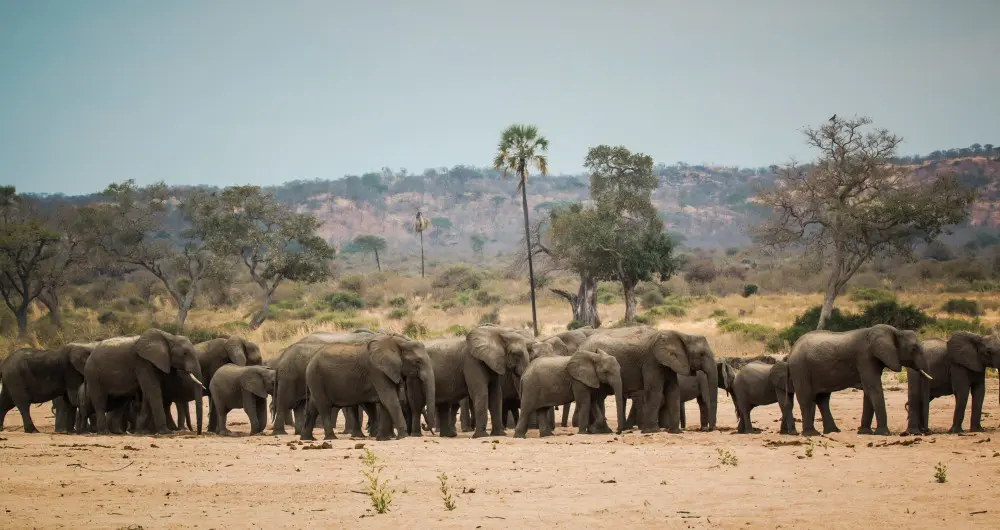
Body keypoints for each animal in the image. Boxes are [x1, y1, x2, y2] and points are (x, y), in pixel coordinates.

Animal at [301, 332, 435, 441]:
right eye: (417, 362)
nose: (424, 425)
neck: (397, 342)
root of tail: (311, 360)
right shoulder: (377, 370)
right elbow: (389, 399)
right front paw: (403, 436)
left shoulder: (390, 370)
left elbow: (386, 401)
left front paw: (383, 439)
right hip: (316, 377)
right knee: (323, 407)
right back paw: (331, 438)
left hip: (315, 379)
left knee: (313, 407)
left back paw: (307, 438)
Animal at [578, 326, 714, 434]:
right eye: (702, 354)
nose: (710, 429)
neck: (681, 335)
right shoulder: (652, 361)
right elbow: (655, 390)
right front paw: (651, 431)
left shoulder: (668, 363)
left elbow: (673, 390)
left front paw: (675, 432)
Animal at [787, 324, 931, 437]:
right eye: (913, 349)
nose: (925, 431)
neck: (896, 331)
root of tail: (792, 349)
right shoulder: (865, 357)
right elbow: (873, 388)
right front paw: (883, 433)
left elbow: (868, 391)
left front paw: (865, 432)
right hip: (800, 368)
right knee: (807, 398)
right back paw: (812, 434)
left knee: (823, 399)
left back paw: (832, 431)